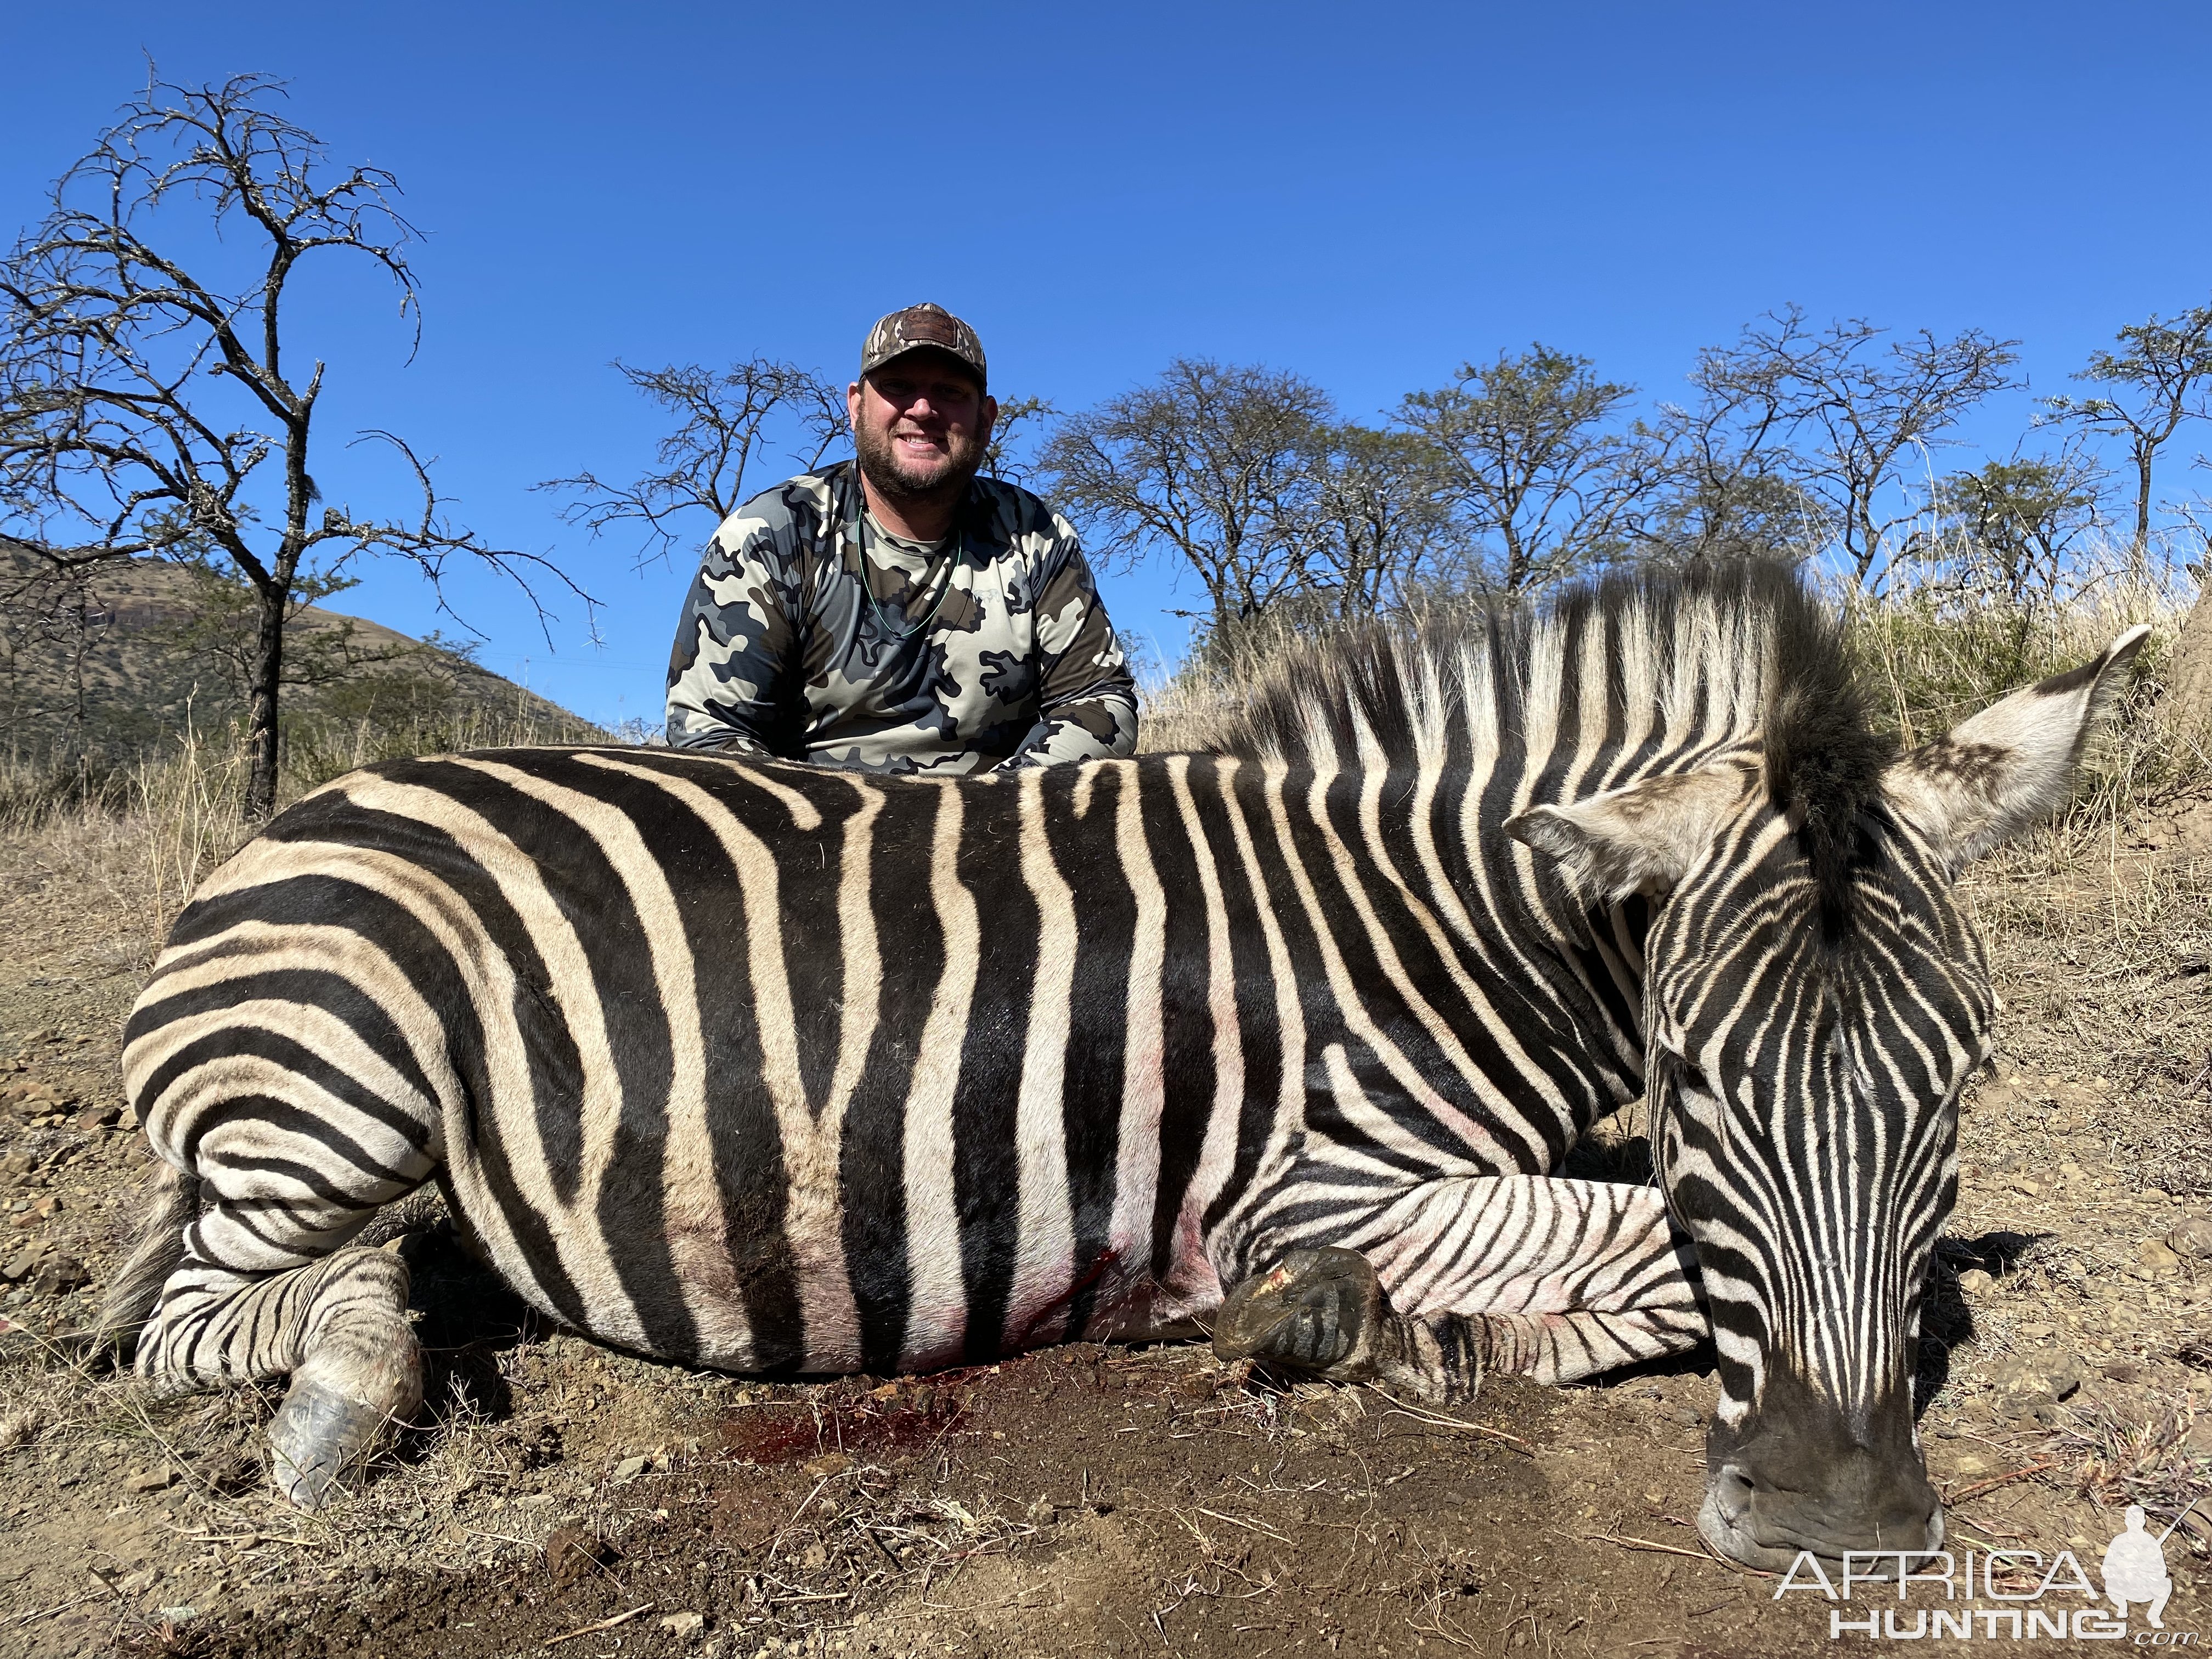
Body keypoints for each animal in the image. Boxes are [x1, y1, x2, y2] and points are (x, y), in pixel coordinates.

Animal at [99, 571, 2141, 1575]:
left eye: (1962, 1078)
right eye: (1702, 1079)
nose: (1840, 1519)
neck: (1434, 914)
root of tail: (290, 818)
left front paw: (1416, 1335)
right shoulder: (1313, 1181)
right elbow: (1638, 1242)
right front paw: (1352, 1329)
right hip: (338, 1078)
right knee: (188, 1324)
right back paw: (343, 1395)